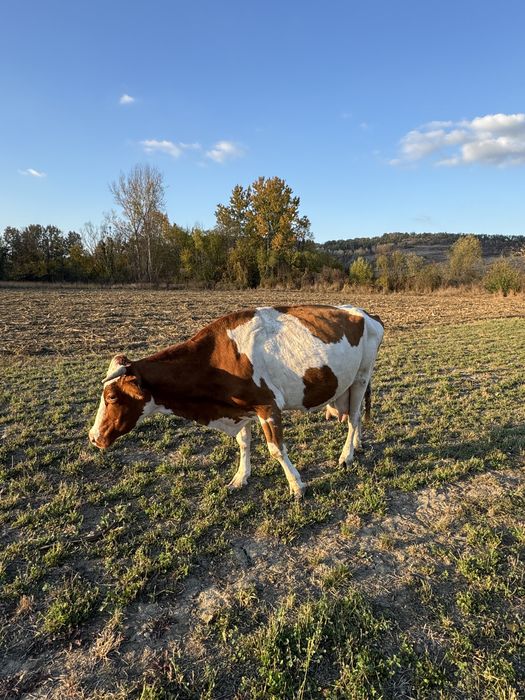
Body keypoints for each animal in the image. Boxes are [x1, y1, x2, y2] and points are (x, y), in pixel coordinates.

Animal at [89, 304, 384, 499]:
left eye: (111, 396)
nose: (93, 437)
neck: (217, 359)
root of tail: (365, 313)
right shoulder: (242, 408)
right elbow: (243, 443)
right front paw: (241, 477)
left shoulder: (268, 406)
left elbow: (276, 450)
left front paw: (296, 485)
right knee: (356, 418)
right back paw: (357, 445)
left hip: (361, 376)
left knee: (354, 418)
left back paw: (347, 455)